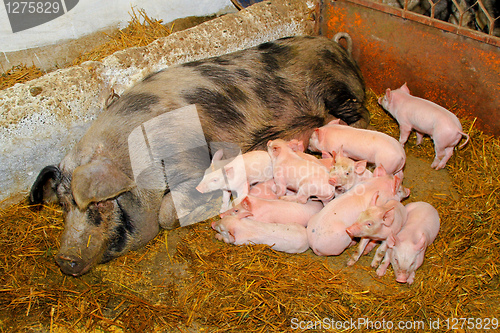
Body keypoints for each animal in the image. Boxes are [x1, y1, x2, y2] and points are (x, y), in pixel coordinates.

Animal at [29, 35, 370, 274]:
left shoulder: (191, 161)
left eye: (99, 204)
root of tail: (339, 50)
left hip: (336, 90)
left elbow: (166, 214)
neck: (137, 162)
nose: (65, 258)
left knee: (361, 115)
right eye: (63, 205)